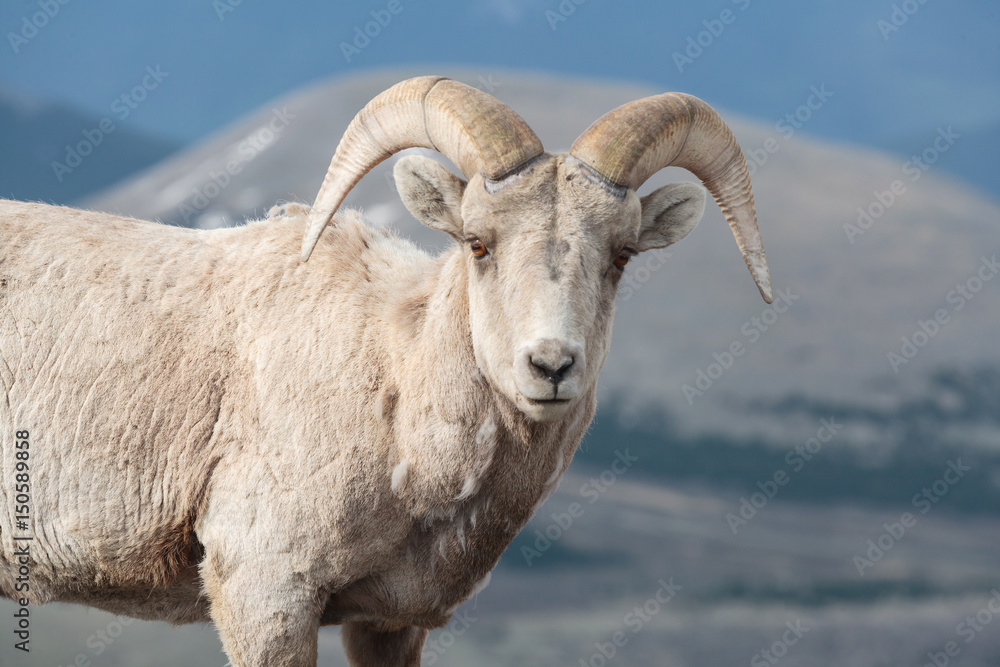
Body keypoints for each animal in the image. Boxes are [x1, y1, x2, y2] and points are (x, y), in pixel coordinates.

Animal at [0, 76, 771, 666]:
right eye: (478, 243)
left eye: (621, 256)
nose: (550, 365)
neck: (397, 396)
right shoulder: (265, 595)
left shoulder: (389, 623)